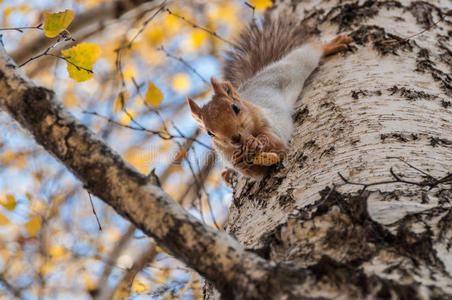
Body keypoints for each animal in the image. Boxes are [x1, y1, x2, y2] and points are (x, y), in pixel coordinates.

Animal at [185, 14, 352, 188]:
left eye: (236, 108)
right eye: (209, 133)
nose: (235, 138)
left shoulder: (269, 121)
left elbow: (278, 146)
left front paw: (257, 145)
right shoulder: (227, 154)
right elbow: (257, 172)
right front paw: (240, 163)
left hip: (292, 67)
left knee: (310, 50)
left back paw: (331, 45)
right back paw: (227, 174)